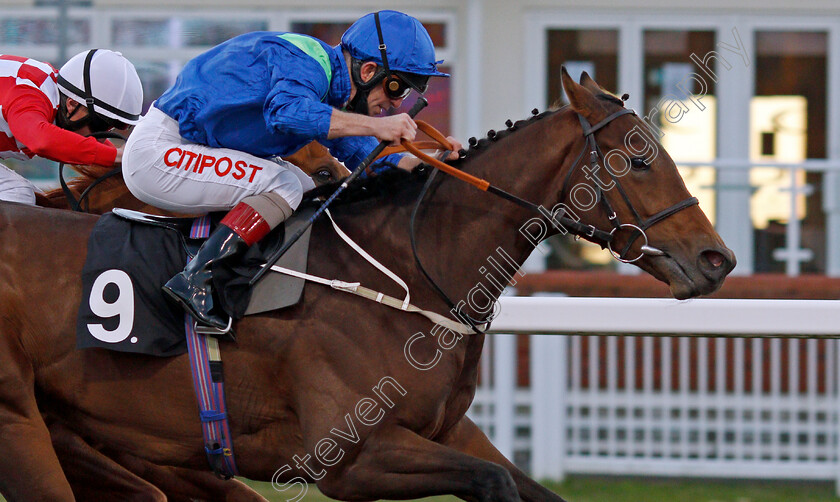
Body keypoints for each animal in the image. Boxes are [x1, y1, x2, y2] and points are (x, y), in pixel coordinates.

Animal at [0, 68, 736, 500]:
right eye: (638, 159)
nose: (717, 259)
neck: (410, 275)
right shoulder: (348, 457)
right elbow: (493, 483)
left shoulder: (448, 432)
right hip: (22, 425)